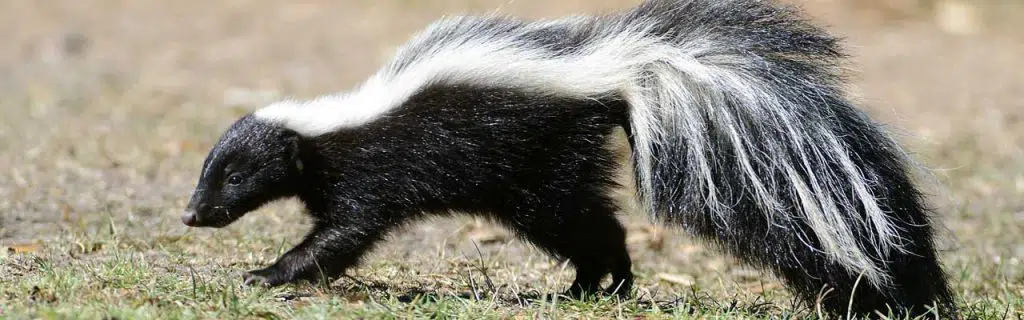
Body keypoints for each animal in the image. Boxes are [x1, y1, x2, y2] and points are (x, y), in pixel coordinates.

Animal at [180, 0, 954, 315]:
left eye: (232, 174)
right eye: (208, 171)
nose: (191, 214)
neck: (336, 123)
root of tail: (616, 69)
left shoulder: (373, 171)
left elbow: (343, 233)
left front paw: (267, 272)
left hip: (538, 169)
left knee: (589, 225)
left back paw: (601, 284)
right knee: (593, 222)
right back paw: (594, 286)